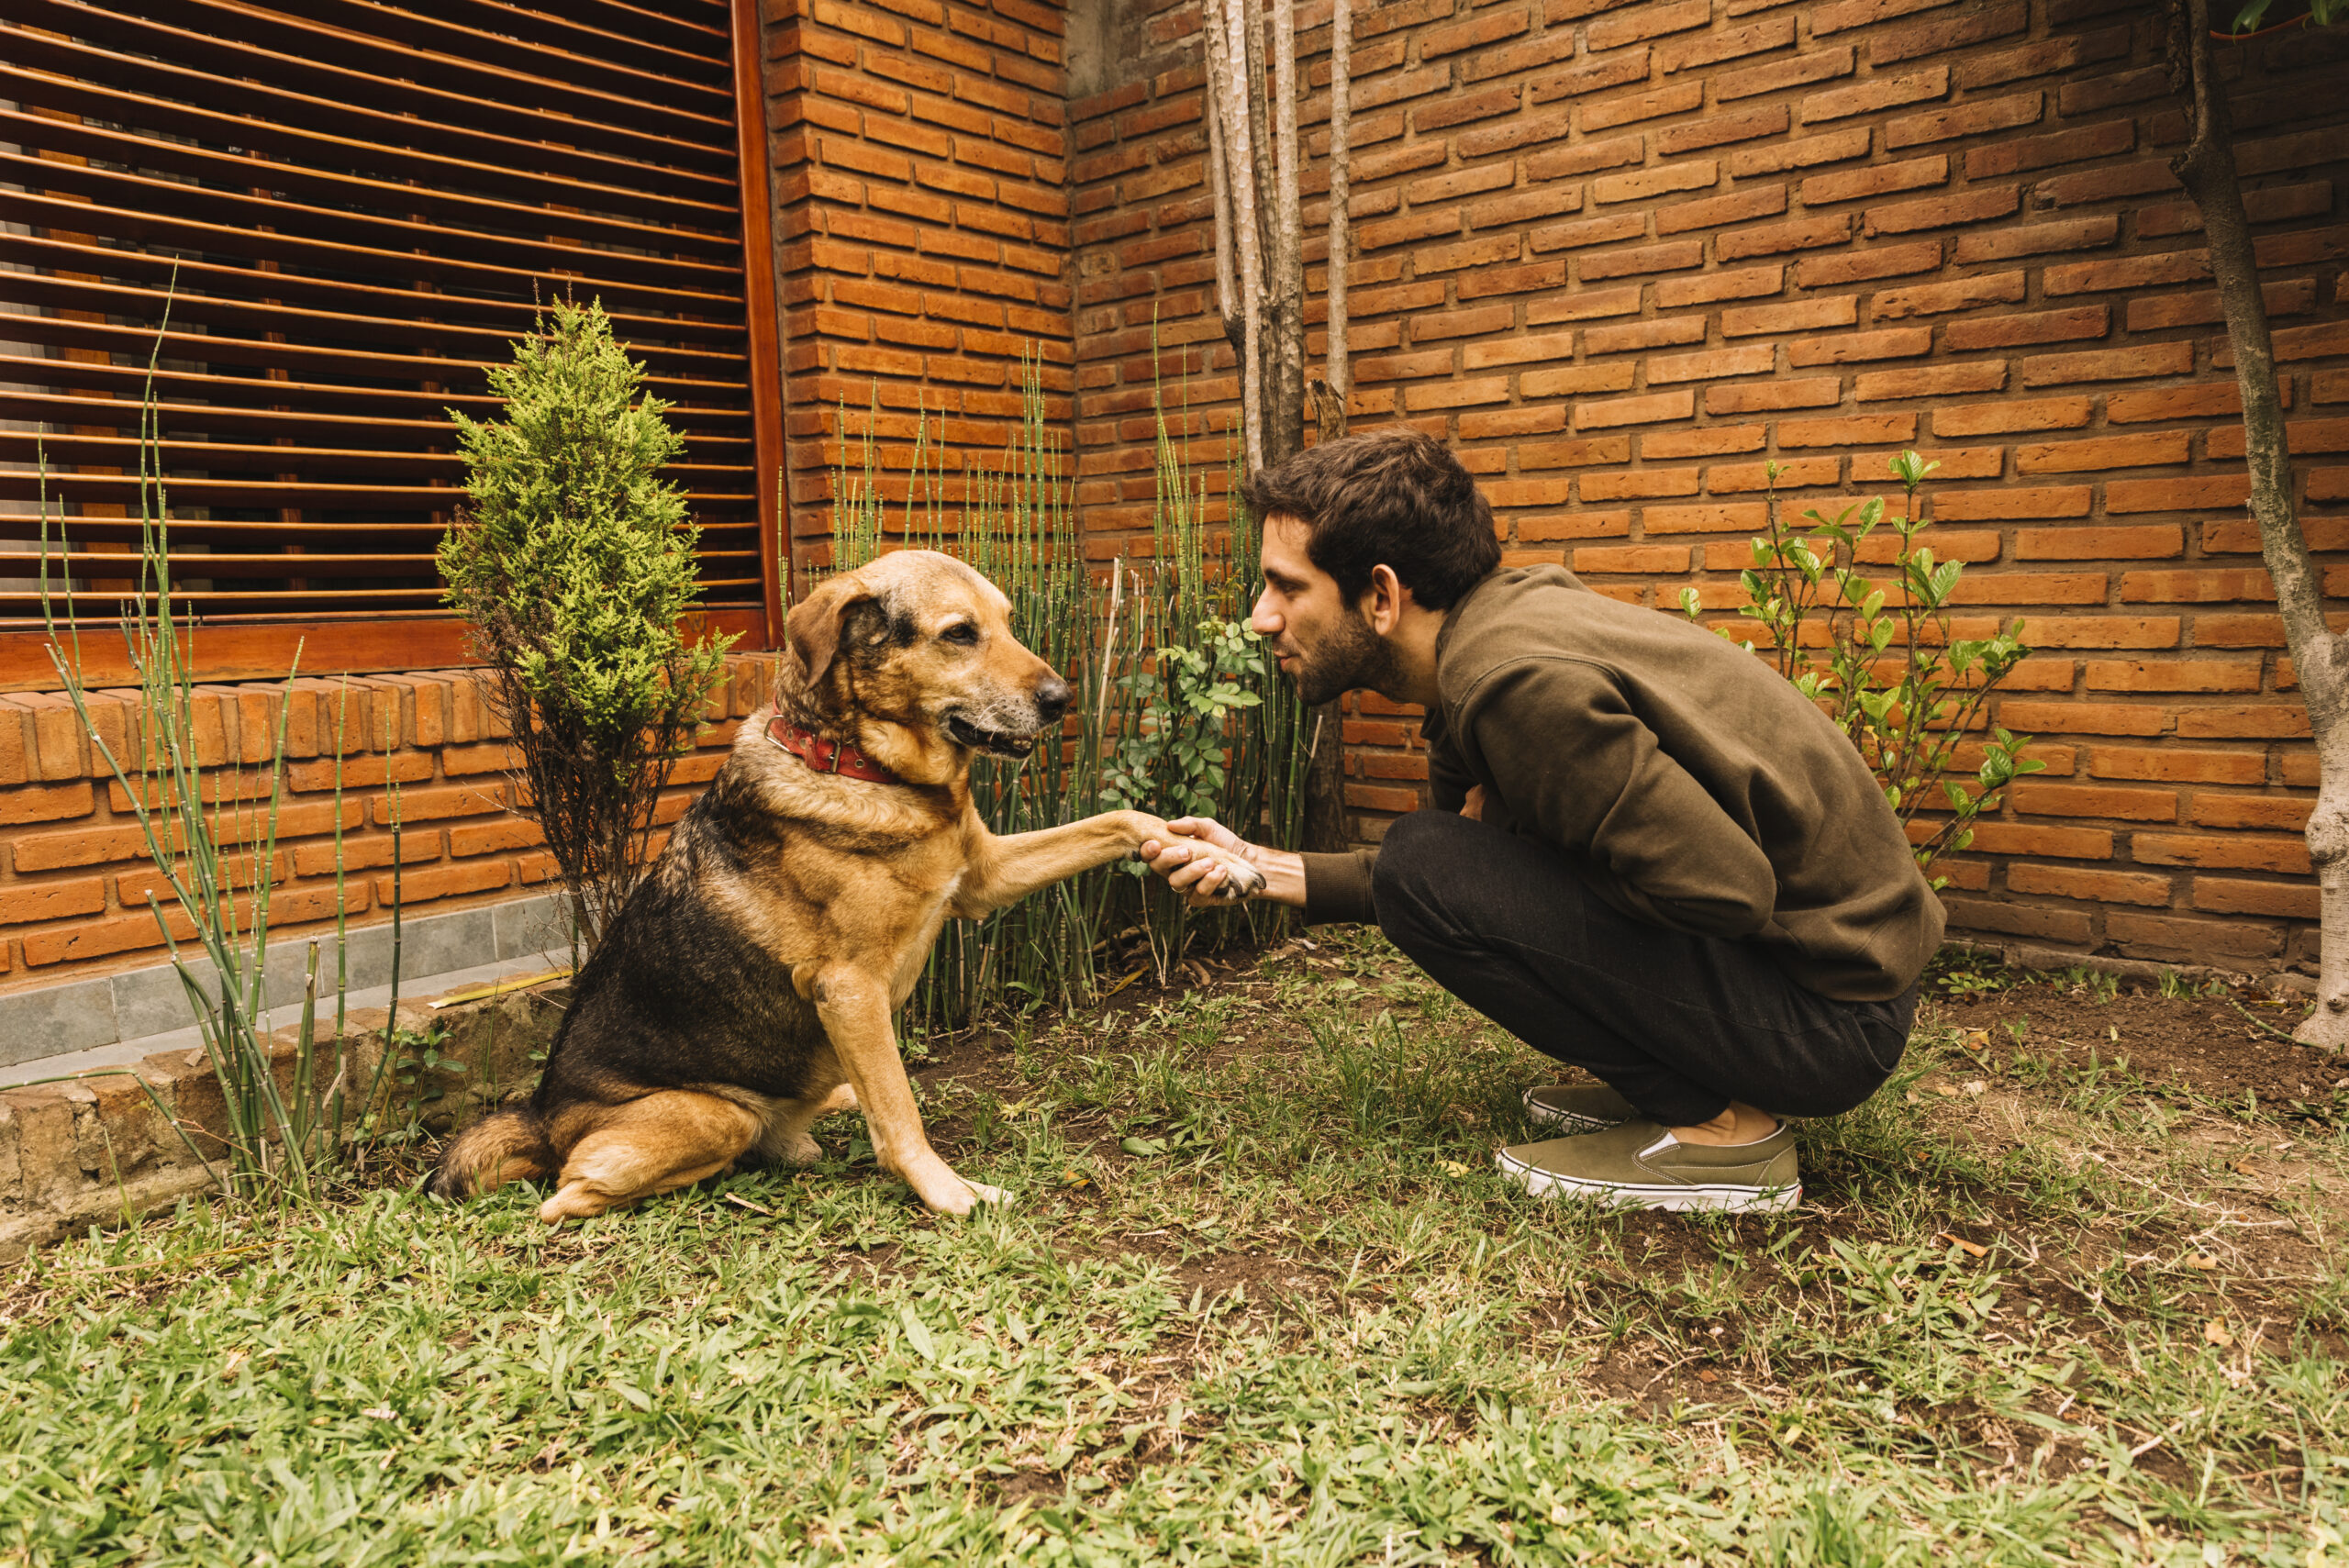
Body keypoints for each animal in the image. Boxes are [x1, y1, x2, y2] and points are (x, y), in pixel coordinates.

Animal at [422, 551, 1268, 1220]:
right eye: (959, 633)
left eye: (1006, 621)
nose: (1062, 700)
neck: (868, 769)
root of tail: (539, 1113)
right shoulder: (849, 987)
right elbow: (901, 1115)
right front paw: (950, 1192)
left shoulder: (982, 878)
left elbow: (1123, 818)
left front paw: (1213, 856)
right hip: (705, 1117)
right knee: (572, 1192)